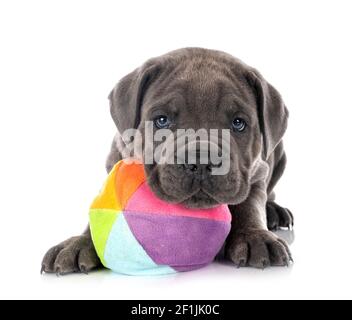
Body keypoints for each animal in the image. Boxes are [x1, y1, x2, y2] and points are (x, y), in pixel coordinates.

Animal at [42, 48, 294, 276]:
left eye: (238, 123)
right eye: (162, 120)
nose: (200, 160)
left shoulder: (257, 172)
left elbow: (249, 205)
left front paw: (255, 237)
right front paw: (79, 242)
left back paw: (274, 211)